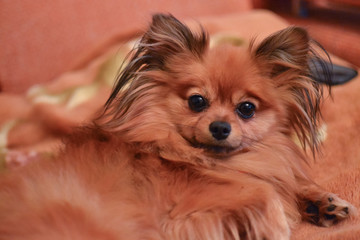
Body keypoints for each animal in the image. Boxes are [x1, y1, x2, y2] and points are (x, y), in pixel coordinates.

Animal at [0, 13, 354, 240]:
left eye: (246, 108)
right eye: (197, 101)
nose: (221, 127)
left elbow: (287, 183)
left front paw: (324, 202)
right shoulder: (182, 211)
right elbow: (265, 193)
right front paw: (276, 227)